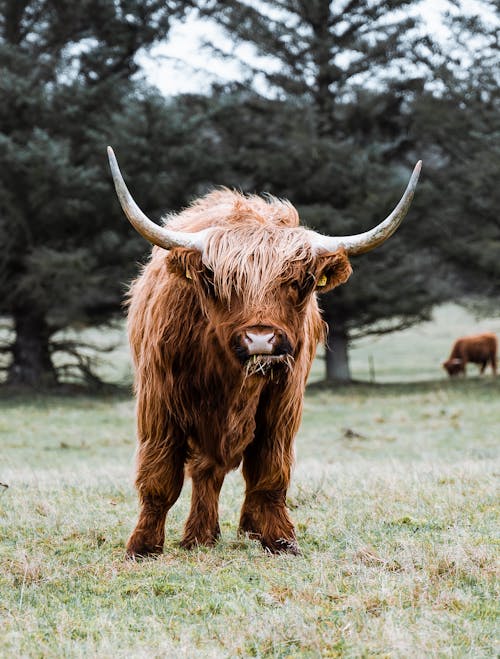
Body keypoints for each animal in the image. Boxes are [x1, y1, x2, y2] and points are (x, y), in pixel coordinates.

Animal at [108, 147, 422, 560]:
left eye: (301, 282)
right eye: (216, 281)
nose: (261, 340)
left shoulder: (282, 405)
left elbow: (270, 472)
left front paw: (280, 539)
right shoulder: (159, 402)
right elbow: (160, 475)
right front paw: (143, 546)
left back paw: (237, 529)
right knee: (203, 470)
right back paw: (200, 536)